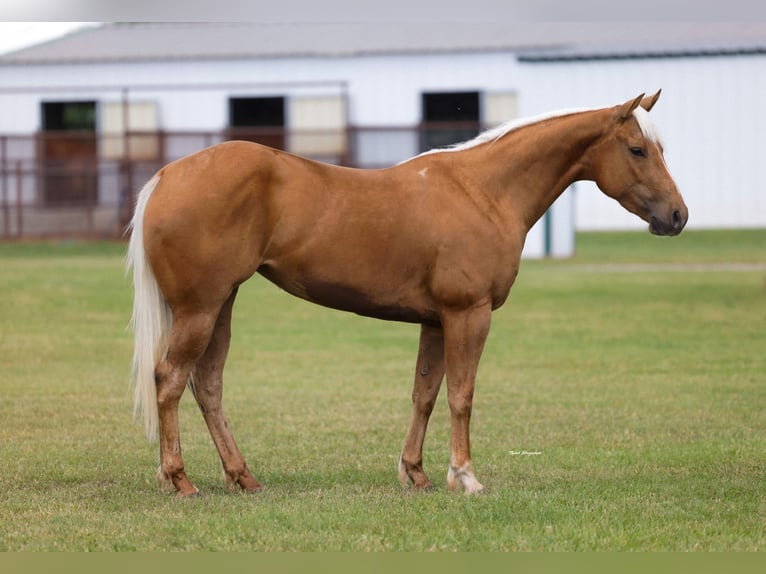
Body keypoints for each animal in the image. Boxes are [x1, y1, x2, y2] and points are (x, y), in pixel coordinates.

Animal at [127, 91, 688, 497]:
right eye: (637, 149)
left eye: (661, 149)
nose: (677, 216)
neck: (483, 191)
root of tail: (167, 175)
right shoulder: (468, 314)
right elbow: (462, 394)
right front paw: (464, 477)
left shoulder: (436, 320)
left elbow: (425, 394)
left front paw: (415, 474)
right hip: (200, 310)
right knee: (169, 380)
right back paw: (180, 480)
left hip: (220, 306)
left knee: (208, 385)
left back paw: (242, 477)